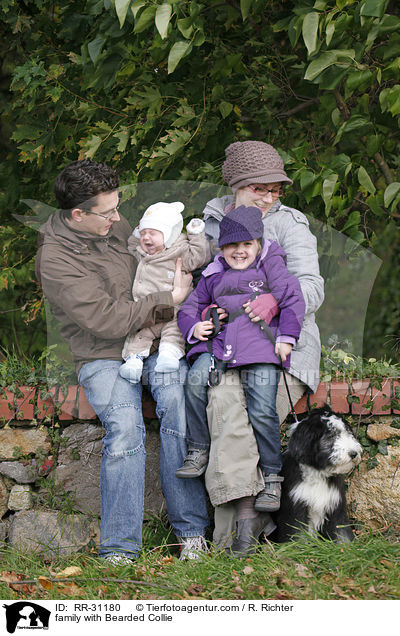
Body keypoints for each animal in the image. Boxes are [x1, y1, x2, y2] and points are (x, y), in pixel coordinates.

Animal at [276, 408, 362, 540]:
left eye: (348, 433)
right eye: (331, 435)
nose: (354, 453)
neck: (318, 473)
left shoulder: (336, 507)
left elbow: (342, 534)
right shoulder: (296, 509)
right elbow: (298, 536)